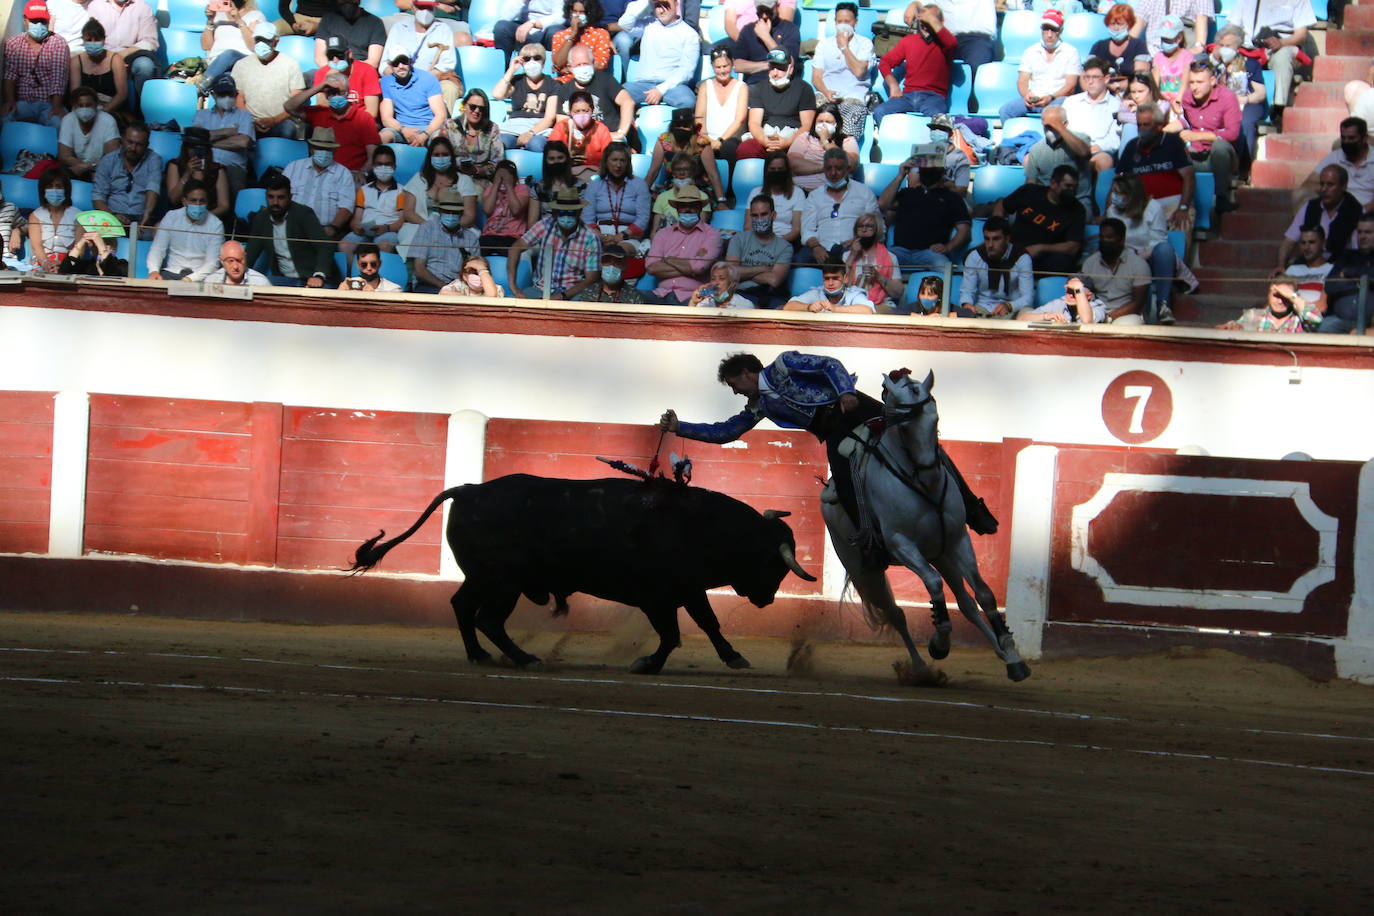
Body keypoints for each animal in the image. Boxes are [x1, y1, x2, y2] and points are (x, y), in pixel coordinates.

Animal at [348, 477, 813, 670]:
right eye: (775, 565)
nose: (767, 599)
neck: (701, 525)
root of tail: (469, 489)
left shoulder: (687, 589)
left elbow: (707, 624)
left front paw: (733, 656)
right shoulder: (659, 596)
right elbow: (673, 635)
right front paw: (647, 663)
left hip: (481, 577)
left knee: (462, 607)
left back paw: (480, 656)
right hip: (503, 583)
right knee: (488, 619)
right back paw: (526, 659)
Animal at [813, 368, 1033, 683]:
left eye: (935, 420)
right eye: (904, 427)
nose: (931, 475)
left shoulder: (957, 540)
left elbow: (984, 594)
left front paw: (1012, 654)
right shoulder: (901, 544)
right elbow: (933, 584)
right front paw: (939, 642)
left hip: (940, 554)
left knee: (965, 603)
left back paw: (1003, 655)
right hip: (863, 568)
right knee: (895, 612)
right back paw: (919, 668)